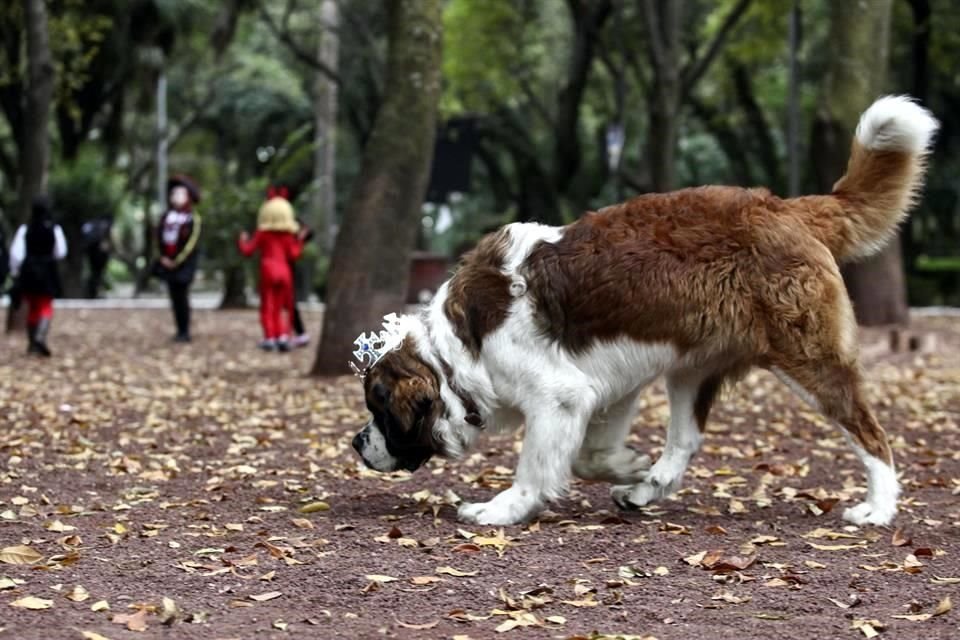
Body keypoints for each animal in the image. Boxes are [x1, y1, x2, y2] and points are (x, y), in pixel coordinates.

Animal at [350, 95, 936, 524]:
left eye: (380, 405)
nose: (357, 443)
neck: (457, 351)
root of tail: (786, 207)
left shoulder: (559, 396)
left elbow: (535, 465)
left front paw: (502, 509)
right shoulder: (608, 387)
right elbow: (587, 455)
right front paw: (629, 467)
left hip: (809, 358)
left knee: (871, 433)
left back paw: (879, 508)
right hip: (692, 366)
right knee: (686, 439)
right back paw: (648, 487)